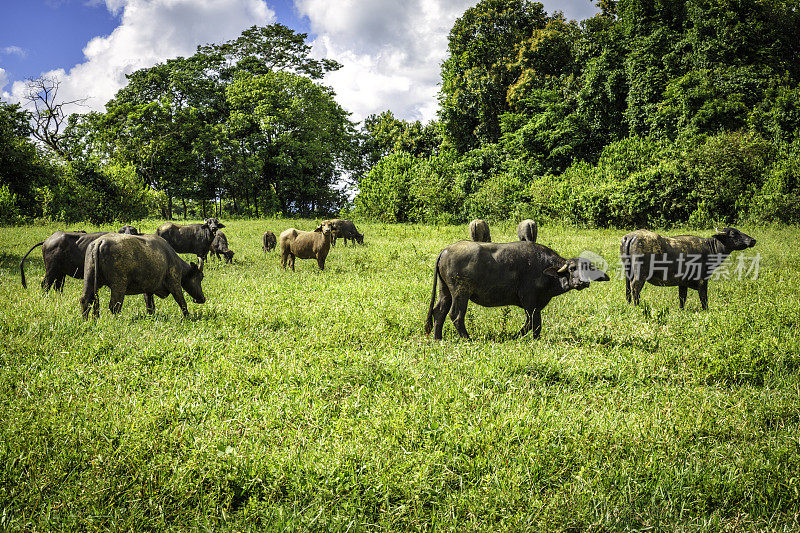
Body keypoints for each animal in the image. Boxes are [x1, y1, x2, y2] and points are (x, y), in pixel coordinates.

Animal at [424, 240, 608, 338]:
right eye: (572, 268)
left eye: (588, 269)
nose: (581, 282)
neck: (545, 270)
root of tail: (445, 250)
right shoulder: (530, 300)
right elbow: (533, 322)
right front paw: (526, 337)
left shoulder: (536, 304)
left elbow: (532, 322)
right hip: (461, 292)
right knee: (456, 315)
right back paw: (467, 338)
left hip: (445, 290)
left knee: (439, 311)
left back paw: (438, 338)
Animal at [620, 228, 760, 310]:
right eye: (733, 233)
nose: (752, 240)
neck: (709, 248)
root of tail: (630, 237)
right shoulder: (702, 280)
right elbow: (704, 298)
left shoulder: (682, 282)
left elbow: (682, 298)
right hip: (640, 274)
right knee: (635, 287)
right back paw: (637, 306)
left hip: (628, 272)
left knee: (628, 288)